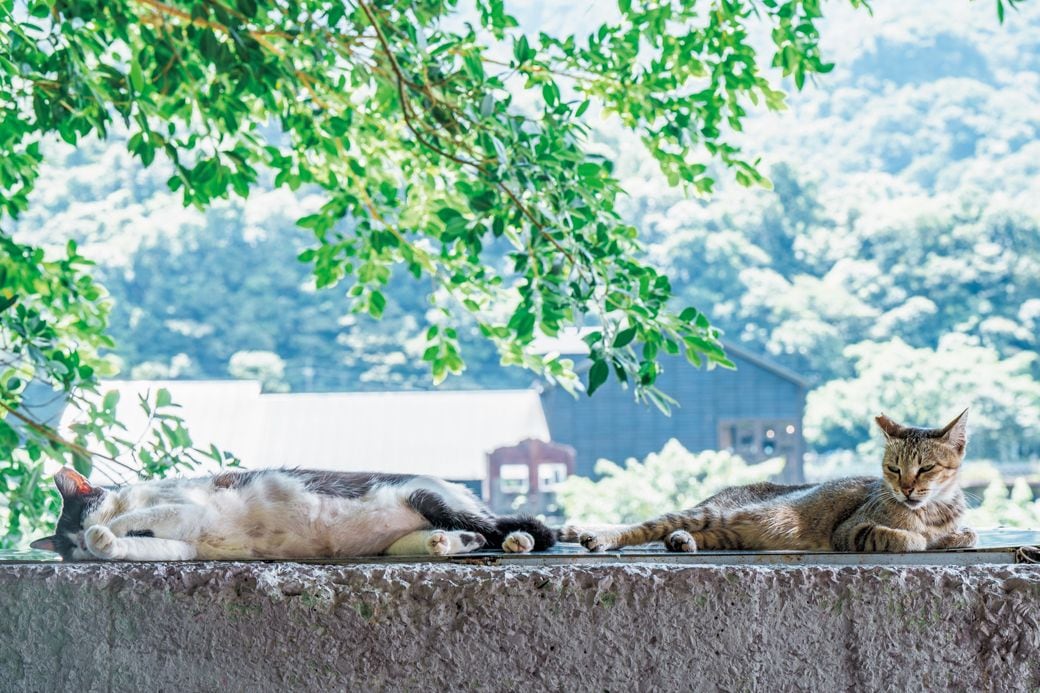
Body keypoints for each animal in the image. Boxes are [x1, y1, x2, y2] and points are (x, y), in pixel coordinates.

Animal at [561, 407, 973, 553]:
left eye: (925, 468)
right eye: (893, 469)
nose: (906, 488)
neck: (931, 510)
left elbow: (965, 533)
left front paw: (948, 536)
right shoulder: (850, 530)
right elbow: (904, 538)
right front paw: (918, 537)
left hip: (730, 533)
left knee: (679, 534)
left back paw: (681, 541)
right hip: (714, 513)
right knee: (643, 526)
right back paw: (595, 536)